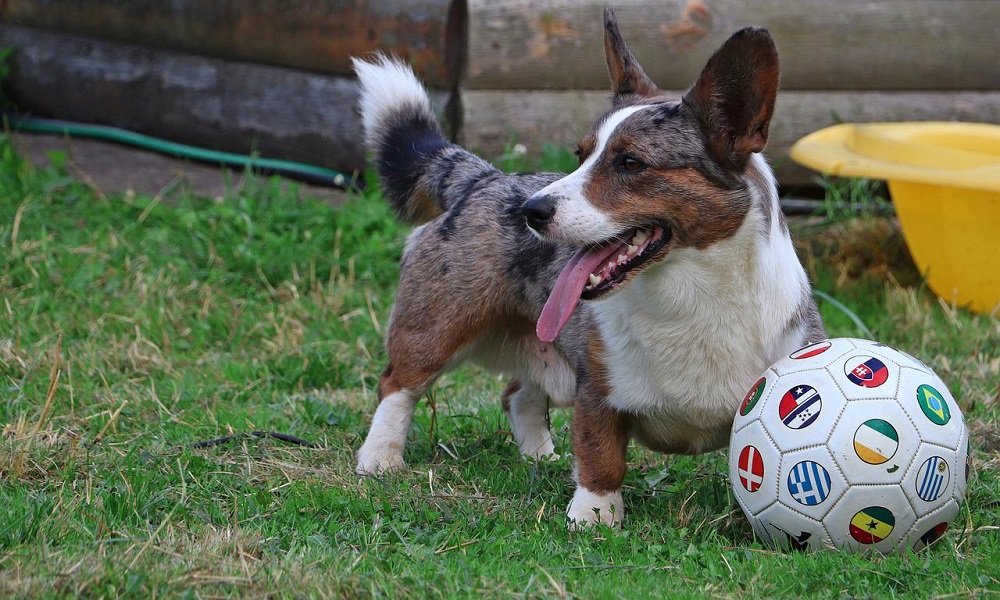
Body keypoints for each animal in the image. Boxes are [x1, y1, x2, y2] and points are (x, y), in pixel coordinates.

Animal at [350, 7, 820, 528]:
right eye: (581, 155)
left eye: (630, 162)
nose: (531, 211)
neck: (691, 297)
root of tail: (483, 177)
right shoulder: (596, 390)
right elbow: (601, 454)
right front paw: (593, 515)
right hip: (437, 327)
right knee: (398, 385)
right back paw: (380, 458)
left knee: (517, 394)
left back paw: (540, 456)